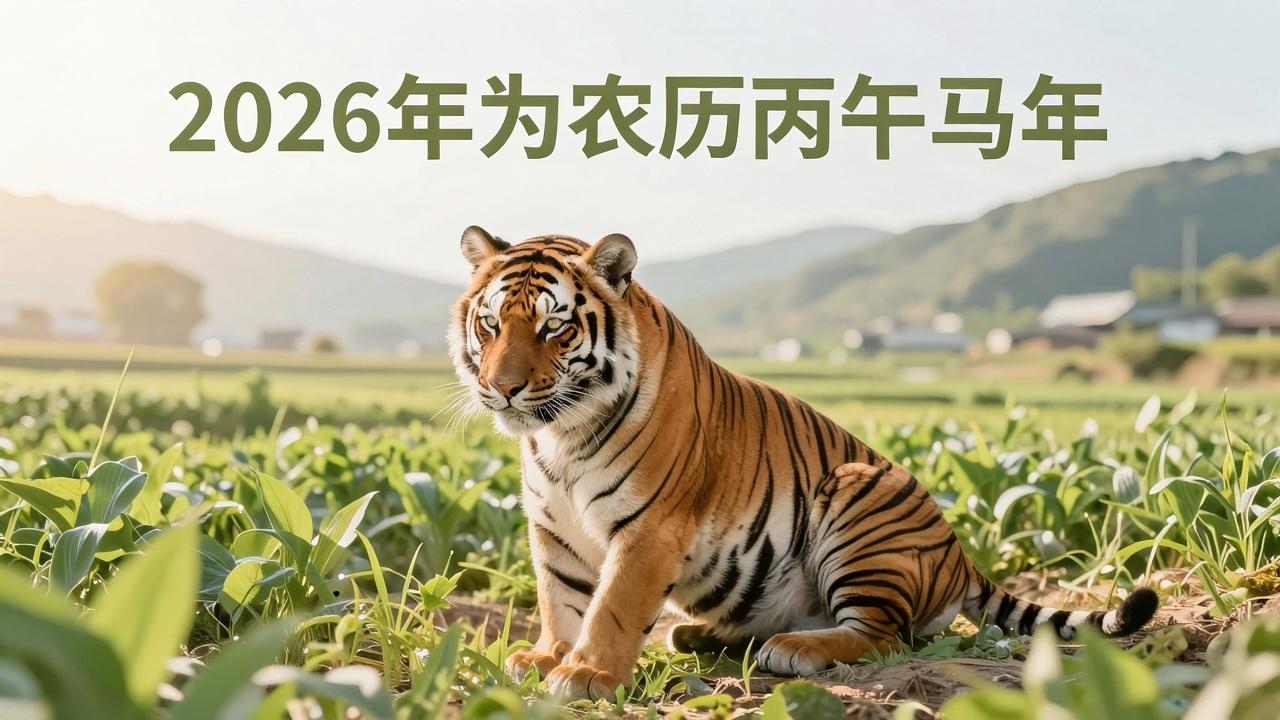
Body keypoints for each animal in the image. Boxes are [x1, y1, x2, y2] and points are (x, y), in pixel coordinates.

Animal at [447, 226, 1158, 699]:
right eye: (491, 325)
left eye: (554, 327)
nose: (501, 387)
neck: (558, 438)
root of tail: (961, 554)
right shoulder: (554, 527)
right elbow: (561, 598)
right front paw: (548, 658)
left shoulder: (649, 529)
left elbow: (613, 605)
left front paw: (587, 674)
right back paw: (698, 637)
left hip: (857, 498)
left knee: (885, 634)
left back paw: (790, 651)